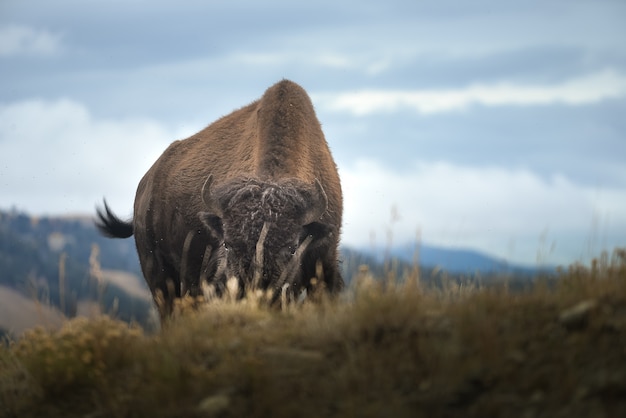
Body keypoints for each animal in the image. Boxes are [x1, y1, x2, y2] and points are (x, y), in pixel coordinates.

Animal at [95, 79, 344, 320]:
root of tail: (146, 184)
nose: (251, 293)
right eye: (227, 244)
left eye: (292, 248)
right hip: (159, 277)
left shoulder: (327, 264)